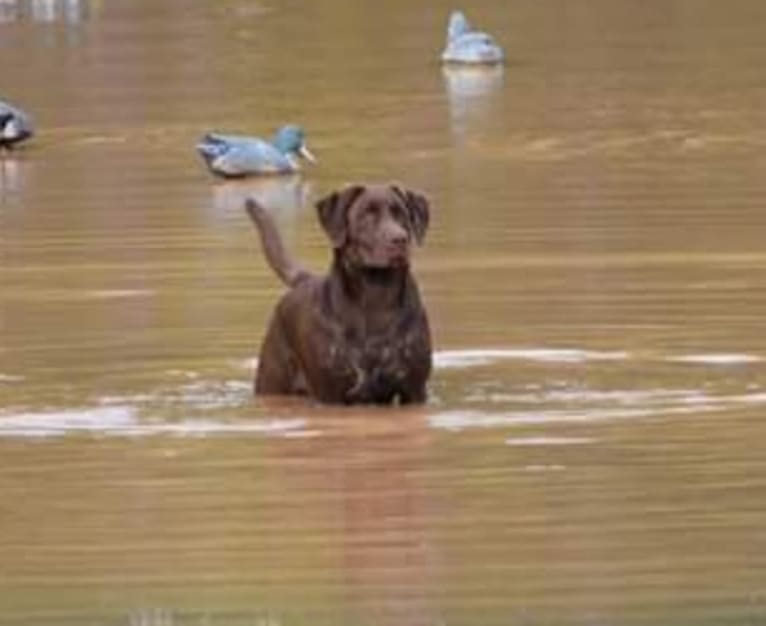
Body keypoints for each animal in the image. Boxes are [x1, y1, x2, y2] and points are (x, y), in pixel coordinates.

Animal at [248, 183, 436, 402]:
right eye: (366, 214)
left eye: (401, 214)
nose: (399, 239)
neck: (377, 295)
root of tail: (304, 279)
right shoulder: (330, 393)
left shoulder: (414, 389)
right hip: (271, 384)